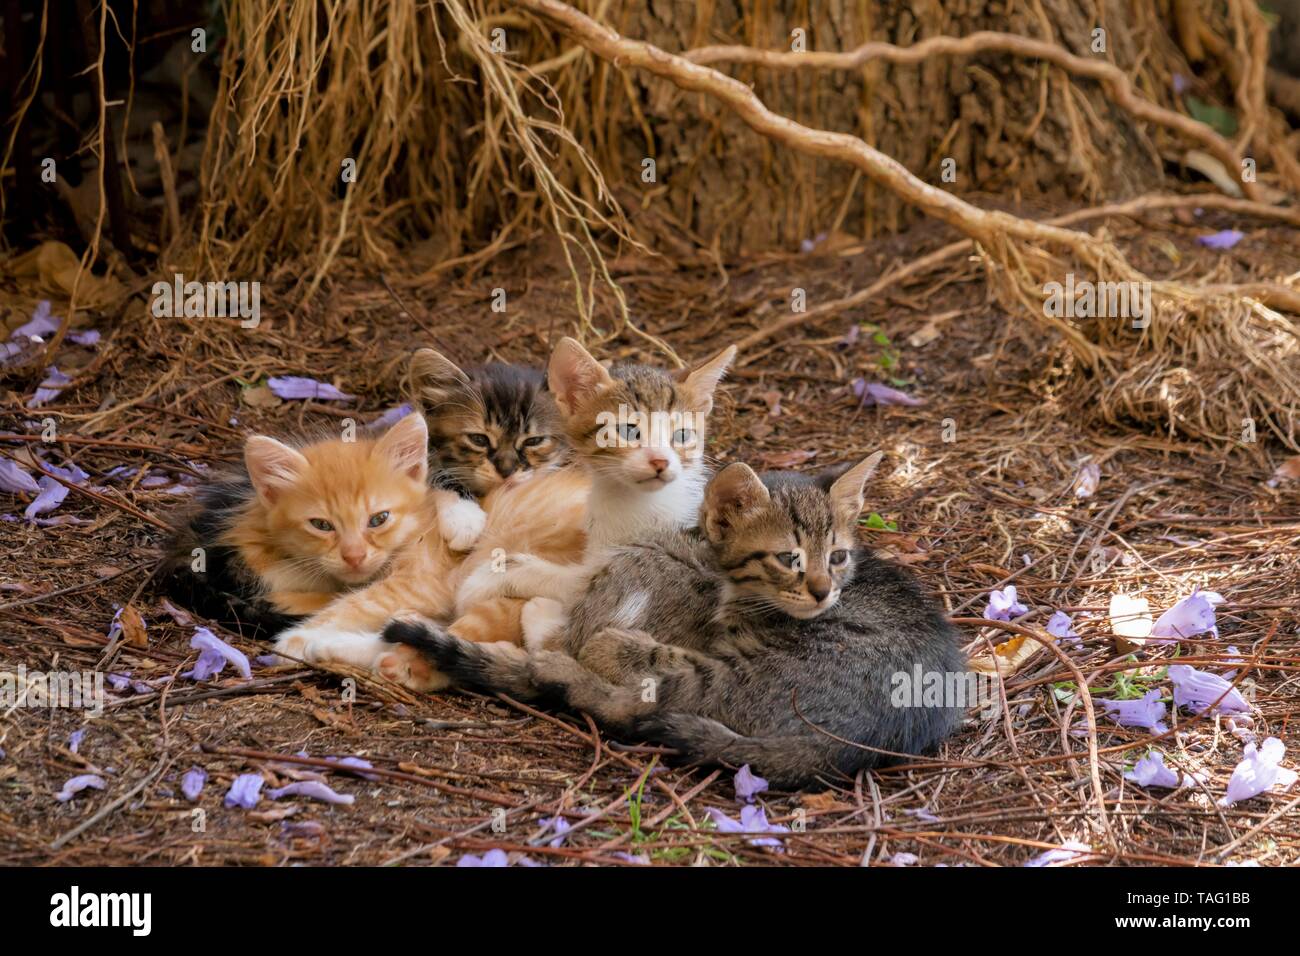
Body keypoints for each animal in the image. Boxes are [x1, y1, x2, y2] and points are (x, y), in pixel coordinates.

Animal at [379, 452, 972, 790]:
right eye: (790, 559)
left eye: (839, 556)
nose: (825, 592)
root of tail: (870, 737)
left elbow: (570, 594)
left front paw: (505, 582)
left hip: (723, 670)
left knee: (616, 679)